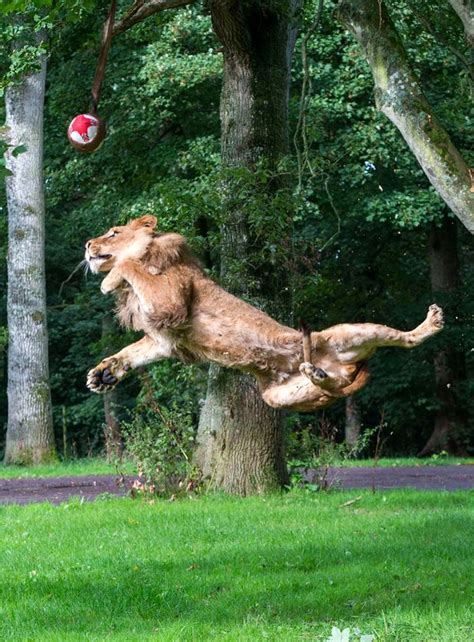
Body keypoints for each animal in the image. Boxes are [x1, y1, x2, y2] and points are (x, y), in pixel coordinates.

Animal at [85, 216, 444, 410]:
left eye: (114, 233)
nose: (87, 244)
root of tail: (344, 366)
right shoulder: (164, 337)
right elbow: (134, 351)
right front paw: (105, 373)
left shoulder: (170, 302)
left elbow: (128, 264)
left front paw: (108, 279)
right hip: (279, 397)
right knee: (329, 388)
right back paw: (317, 374)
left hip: (349, 333)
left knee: (405, 339)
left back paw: (431, 323)